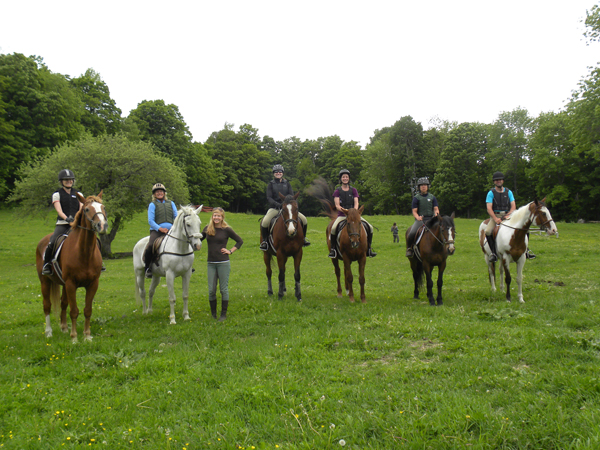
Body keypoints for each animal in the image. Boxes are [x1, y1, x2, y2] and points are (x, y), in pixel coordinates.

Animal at [35, 190, 108, 342]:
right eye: (87, 209)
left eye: (103, 207)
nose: (102, 226)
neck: (84, 252)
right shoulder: (71, 284)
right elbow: (74, 311)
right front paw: (74, 338)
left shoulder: (93, 284)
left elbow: (87, 310)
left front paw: (87, 336)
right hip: (45, 282)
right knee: (47, 305)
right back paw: (49, 332)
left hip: (63, 284)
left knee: (63, 303)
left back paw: (64, 328)